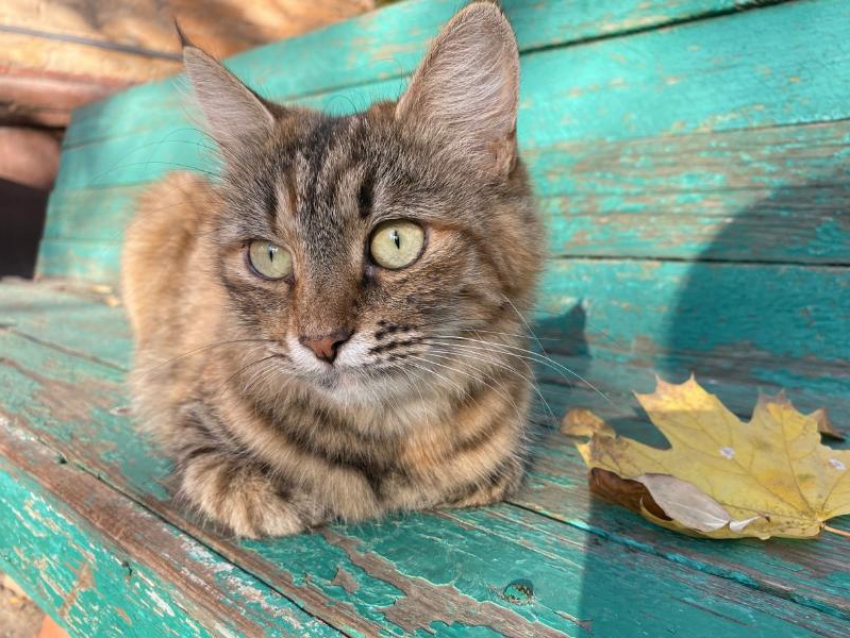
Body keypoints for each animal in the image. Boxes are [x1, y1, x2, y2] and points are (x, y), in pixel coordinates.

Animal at [121, 2, 544, 536]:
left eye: (396, 241)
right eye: (269, 256)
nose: (321, 343)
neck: (388, 438)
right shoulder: (192, 414)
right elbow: (224, 475)